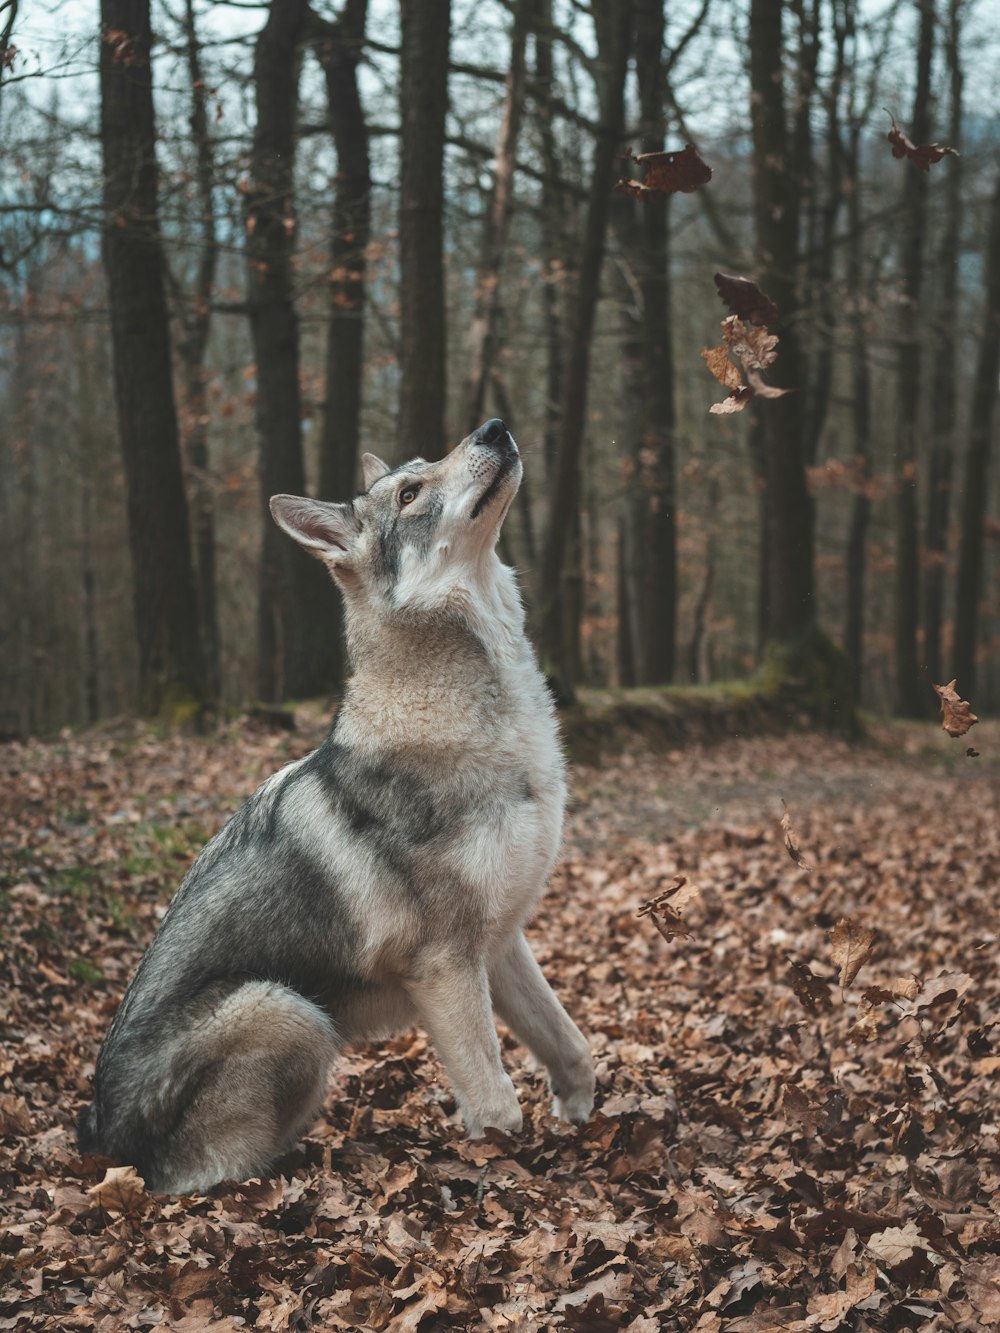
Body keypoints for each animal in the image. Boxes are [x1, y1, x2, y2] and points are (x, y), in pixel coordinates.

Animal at [80, 421, 594, 1194]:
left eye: (429, 461)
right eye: (409, 493)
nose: (494, 428)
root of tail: (99, 1141)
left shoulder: (501, 942)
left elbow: (572, 1046)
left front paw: (582, 1122)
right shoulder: (444, 965)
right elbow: (497, 1104)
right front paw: (505, 1178)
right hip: (289, 1011)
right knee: (208, 1176)